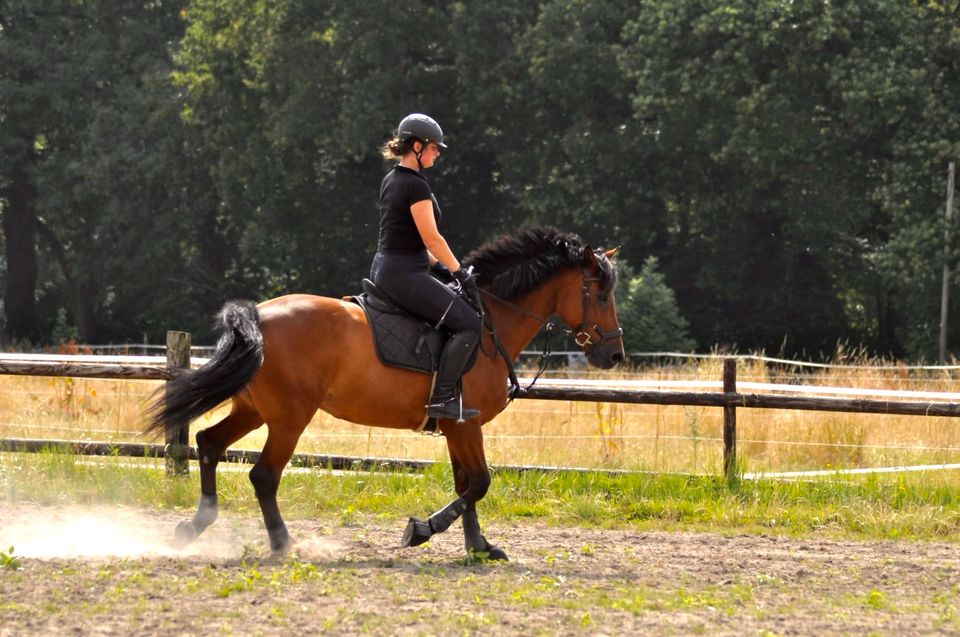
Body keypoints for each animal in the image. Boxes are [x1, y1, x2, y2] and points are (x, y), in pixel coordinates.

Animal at [142, 225, 624, 560]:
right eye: (601, 294)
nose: (615, 353)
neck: (490, 323)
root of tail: (258, 314)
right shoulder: (466, 425)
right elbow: (480, 483)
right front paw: (422, 531)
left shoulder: (456, 426)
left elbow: (467, 484)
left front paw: (479, 547)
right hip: (290, 417)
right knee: (263, 475)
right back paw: (284, 543)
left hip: (254, 410)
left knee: (208, 443)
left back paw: (197, 524)